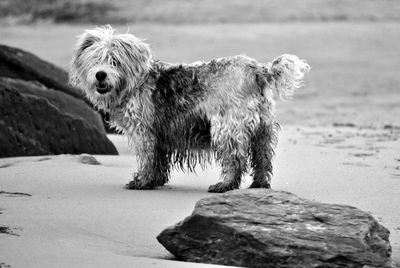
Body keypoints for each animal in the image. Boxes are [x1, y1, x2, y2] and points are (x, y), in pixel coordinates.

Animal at [70, 25, 310, 193]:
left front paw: (141, 181)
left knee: (235, 159)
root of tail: (258, 71)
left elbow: (147, 159)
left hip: (227, 127)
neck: (134, 83)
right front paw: (155, 181)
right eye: (94, 60)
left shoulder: (144, 132)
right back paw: (259, 185)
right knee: (263, 159)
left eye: (114, 61)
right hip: (263, 130)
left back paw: (224, 185)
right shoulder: (159, 134)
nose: (100, 75)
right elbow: (158, 161)